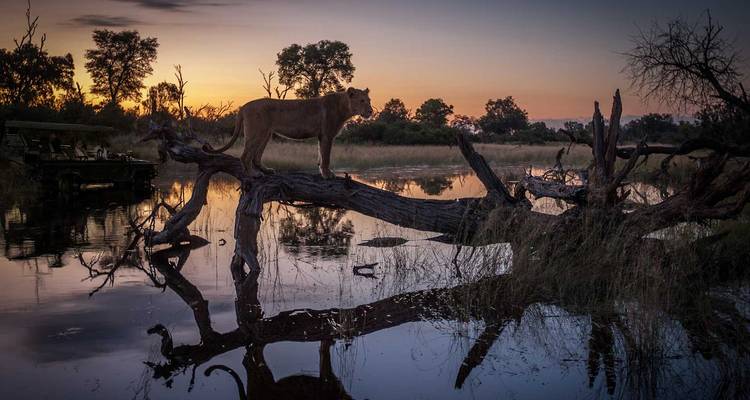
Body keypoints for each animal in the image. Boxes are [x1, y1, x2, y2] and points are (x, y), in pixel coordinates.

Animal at [203, 87, 373, 178]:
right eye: (362, 101)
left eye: (369, 100)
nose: (371, 111)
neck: (345, 107)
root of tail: (243, 106)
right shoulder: (327, 135)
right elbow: (326, 157)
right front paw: (327, 174)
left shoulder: (321, 136)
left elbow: (320, 155)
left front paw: (322, 171)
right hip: (257, 133)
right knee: (245, 156)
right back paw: (253, 174)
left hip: (265, 134)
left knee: (256, 157)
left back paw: (267, 170)